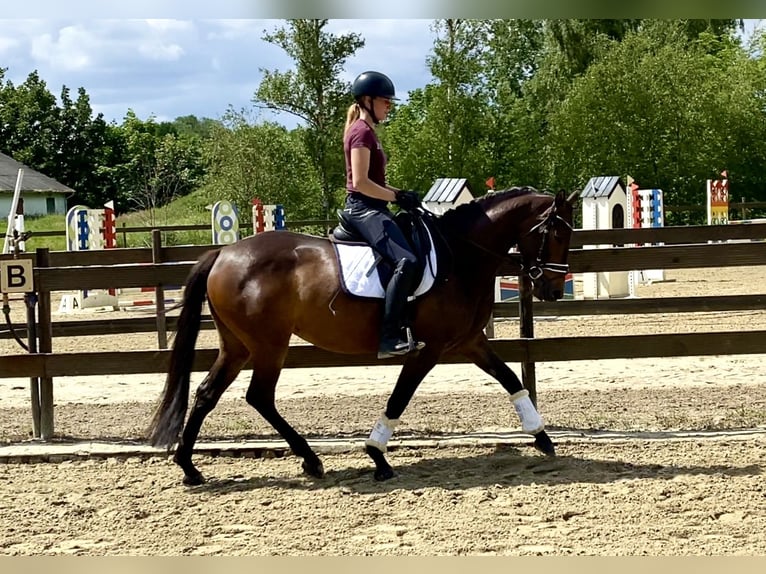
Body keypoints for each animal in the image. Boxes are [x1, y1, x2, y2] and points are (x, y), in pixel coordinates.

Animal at [148, 187, 576, 484]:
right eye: (555, 234)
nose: (554, 290)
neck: (460, 256)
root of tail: (223, 253)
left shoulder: (470, 342)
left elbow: (511, 379)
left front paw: (542, 438)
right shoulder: (428, 349)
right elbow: (399, 397)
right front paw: (377, 455)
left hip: (239, 346)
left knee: (210, 393)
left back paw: (191, 468)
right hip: (269, 345)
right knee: (259, 396)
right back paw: (308, 459)